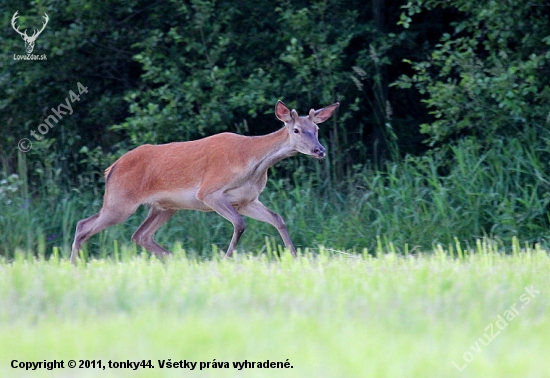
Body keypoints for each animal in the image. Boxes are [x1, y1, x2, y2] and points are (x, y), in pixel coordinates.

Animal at [70, 100, 338, 262]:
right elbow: (239, 223)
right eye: (296, 130)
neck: (251, 162)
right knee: (83, 225)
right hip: (120, 201)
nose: (319, 150)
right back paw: (75, 265)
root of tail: (111, 168)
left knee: (140, 235)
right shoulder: (209, 191)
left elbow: (277, 219)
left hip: (165, 207)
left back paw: (177, 259)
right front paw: (226, 259)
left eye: (317, 129)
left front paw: (295, 256)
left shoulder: (247, 199)